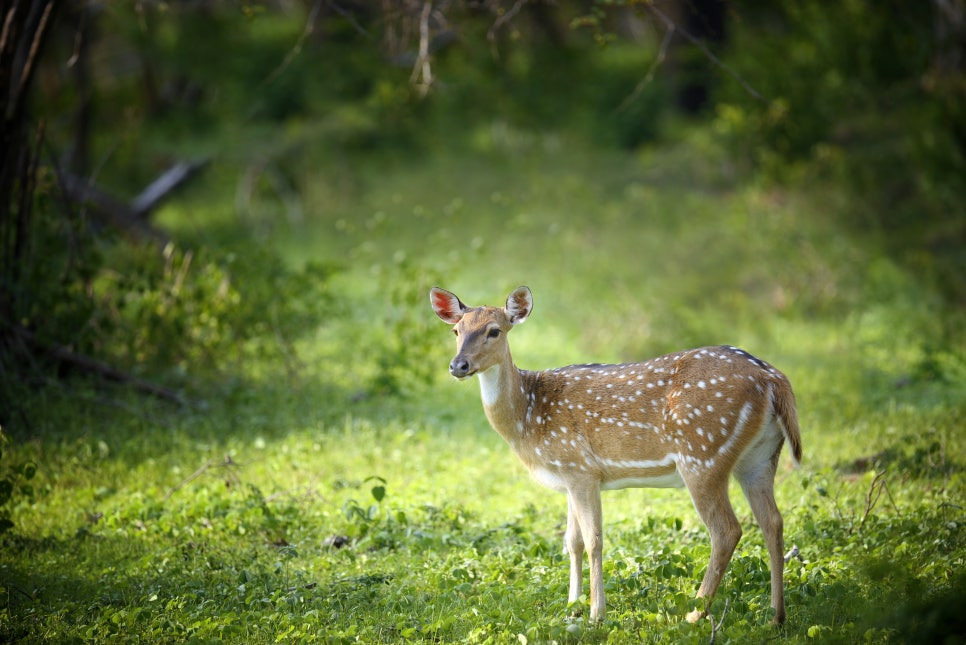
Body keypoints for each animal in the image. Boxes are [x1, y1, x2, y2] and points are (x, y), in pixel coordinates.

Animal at [430, 285, 802, 624]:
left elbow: (594, 540)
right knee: (773, 521)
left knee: (727, 531)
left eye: (494, 330)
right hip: (759, 457)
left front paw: (597, 614)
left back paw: (694, 616)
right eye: (456, 331)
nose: (458, 365)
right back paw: (776, 616)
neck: (528, 415)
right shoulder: (569, 475)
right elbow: (572, 541)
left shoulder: (580, 467)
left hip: (702, 454)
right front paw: (572, 607)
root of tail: (773, 378)